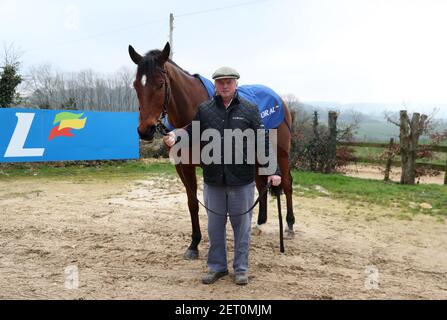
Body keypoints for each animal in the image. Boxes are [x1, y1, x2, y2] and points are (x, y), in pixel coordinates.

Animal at [128, 42, 296, 260]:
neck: (192, 114)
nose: (145, 130)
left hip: (281, 154)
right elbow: (193, 203)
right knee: (261, 185)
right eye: (136, 85)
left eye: (160, 83)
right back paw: (260, 224)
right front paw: (194, 244)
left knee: (287, 183)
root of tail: (280, 101)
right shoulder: (183, 167)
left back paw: (290, 225)